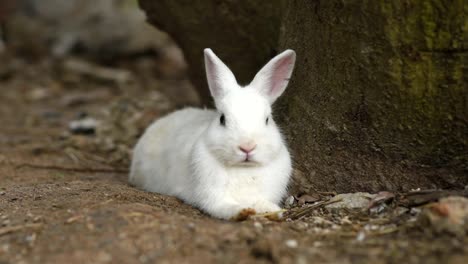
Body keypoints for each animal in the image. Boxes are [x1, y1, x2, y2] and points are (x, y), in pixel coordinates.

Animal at [129, 48, 296, 220]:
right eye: (222, 119)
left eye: (267, 119)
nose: (247, 147)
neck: (243, 168)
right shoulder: (213, 197)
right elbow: (224, 207)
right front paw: (242, 211)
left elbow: (262, 203)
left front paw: (272, 211)